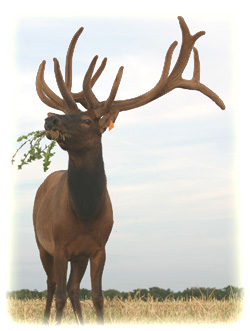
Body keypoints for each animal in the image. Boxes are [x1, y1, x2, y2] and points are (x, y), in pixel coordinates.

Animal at [32, 16, 225, 326]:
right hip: (41, 242)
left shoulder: (99, 248)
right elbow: (59, 296)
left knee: (72, 288)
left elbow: (97, 297)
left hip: (77, 256)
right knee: (52, 286)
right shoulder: (59, 244)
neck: (84, 213)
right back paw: (46, 317)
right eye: (68, 114)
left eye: (87, 120)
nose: (51, 120)